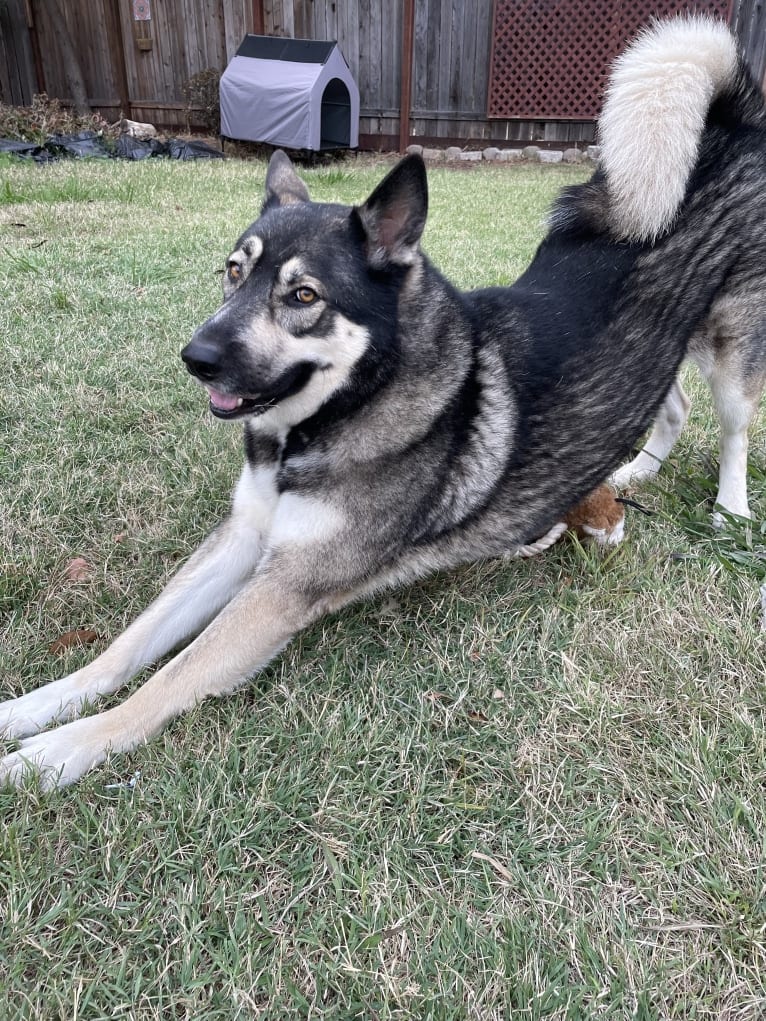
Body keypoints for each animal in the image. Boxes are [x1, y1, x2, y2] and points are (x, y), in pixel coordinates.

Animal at [1, 15, 766, 784]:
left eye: (303, 296)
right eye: (234, 272)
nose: (197, 358)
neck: (327, 422)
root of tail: (727, 127)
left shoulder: (284, 587)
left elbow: (166, 679)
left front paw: (58, 753)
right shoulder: (243, 537)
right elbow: (130, 645)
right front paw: (35, 708)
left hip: (730, 346)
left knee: (733, 427)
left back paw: (729, 509)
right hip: (660, 349)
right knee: (671, 407)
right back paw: (634, 472)